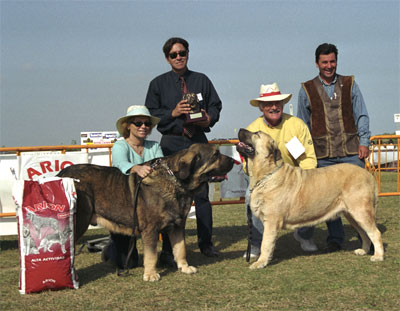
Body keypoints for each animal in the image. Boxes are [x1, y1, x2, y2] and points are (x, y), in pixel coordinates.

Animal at [59, 144, 234, 282]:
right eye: (215, 155)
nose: (234, 160)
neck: (175, 181)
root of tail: (61, 174)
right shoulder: (150, 229)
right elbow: (151, 255)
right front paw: (150, 274)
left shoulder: (178, 225)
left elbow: (180, 248)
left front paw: (184, 267)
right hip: (79, 223)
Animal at [238, 129, 384, 270]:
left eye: (256, 134)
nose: (240, 129)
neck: (267, 174)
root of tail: (368, 174)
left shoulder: (271, 222)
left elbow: (265, 243)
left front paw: (260, 262)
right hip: (351, 215)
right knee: (364, 233)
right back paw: (364, 250)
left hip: (360, 211)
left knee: (375, 233)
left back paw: (378, 256)